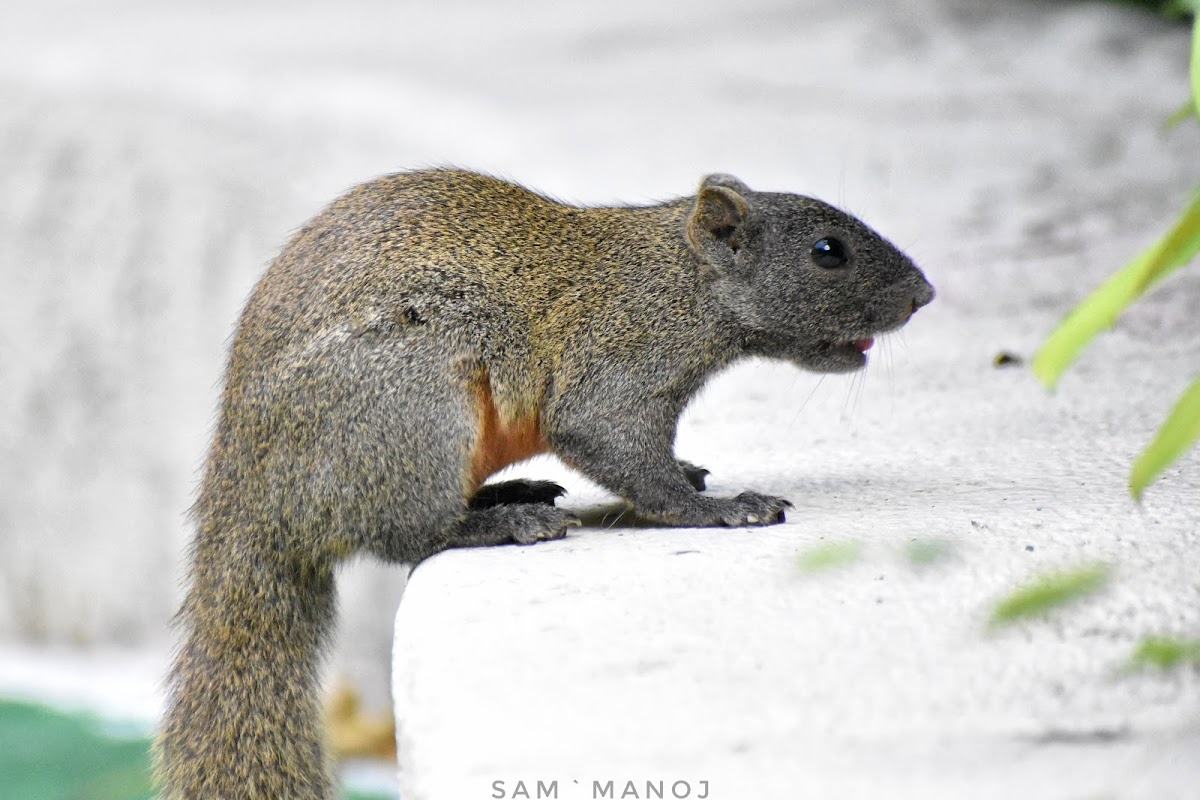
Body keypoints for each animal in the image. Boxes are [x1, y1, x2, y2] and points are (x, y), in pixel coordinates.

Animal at [152, 165, 936, 796]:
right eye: (827, 252)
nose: (925, 294)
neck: (680, 278)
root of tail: (254, 497)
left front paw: (690, 471)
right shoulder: (618, 359)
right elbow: (614, 444)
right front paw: (717, 507)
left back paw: (509, 493)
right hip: (411, 407)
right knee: (407, 534)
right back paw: (502, 521)